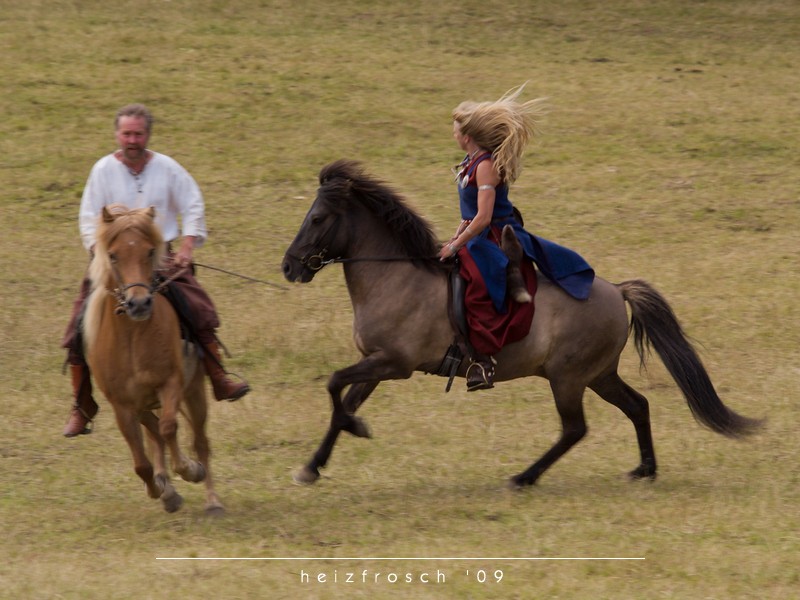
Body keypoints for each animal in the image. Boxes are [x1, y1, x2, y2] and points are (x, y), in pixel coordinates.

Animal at [83, 204, 223, 514]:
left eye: (149, 251)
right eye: (113, 255)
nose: (139, 304)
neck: (133, 339)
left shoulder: (170, 384)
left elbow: (170, 429)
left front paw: (190, 470)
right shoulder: (123, 407)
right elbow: (142, 464)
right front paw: (159, 488)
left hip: (193, 392)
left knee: (199, 440)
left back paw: (212, 500)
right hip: (144, 406)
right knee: (155, 436)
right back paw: (168, 490)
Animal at [281, 160, 761, 488]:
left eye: (317, 218)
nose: (289, 267)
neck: (393, 275)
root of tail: (616, 290)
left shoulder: (393, 364)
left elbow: (334, 385)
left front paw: (353, 430)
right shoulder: (376, 363)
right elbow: (343, 400)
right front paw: (314, 465)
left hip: (568, 377)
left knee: (575, 428)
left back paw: (524, 477)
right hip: (598, 375)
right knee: (637, 406)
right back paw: (644, 469)